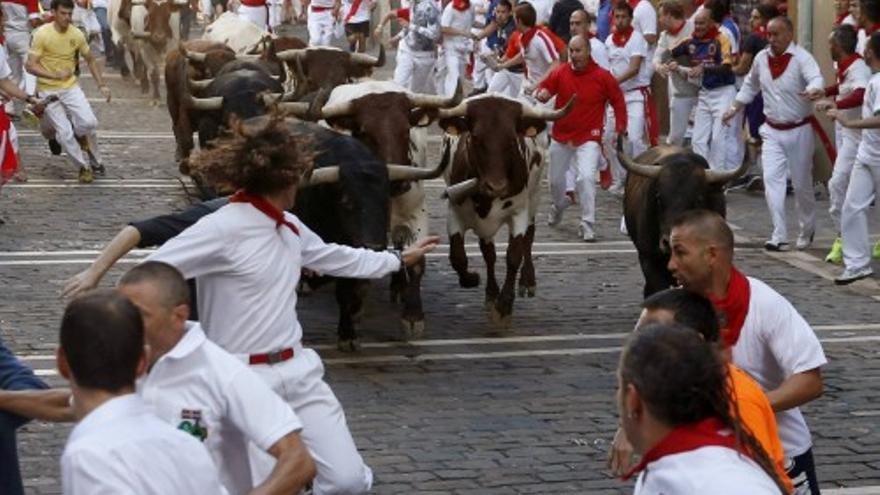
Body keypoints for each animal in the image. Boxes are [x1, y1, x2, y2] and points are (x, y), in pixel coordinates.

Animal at [436, 95, 576, 328]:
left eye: (512, 139)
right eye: (475, 137)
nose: (497, 186)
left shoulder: (518, 212)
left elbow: (513, 255)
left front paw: (504, 306)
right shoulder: (454, 210)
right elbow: (458, 256)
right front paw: (474, 280)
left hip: (535, 196)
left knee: (529, 237)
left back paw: (527, 281)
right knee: (488, 253)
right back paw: (491, 292)